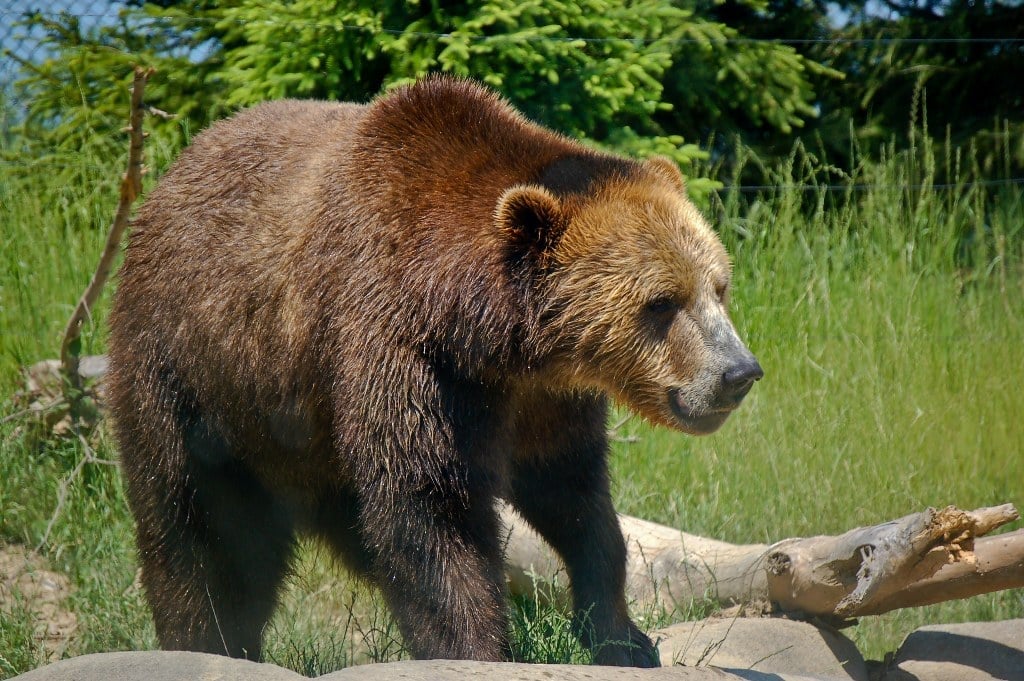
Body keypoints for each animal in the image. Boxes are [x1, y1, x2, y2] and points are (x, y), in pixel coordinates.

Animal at [107, 76, 762, 668]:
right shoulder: (408, 357)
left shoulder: (544, 400)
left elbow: (575, 496)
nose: (739, 372)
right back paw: (209, 643)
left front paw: (623, 637)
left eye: (718, 286)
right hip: (192, 379)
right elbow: (431, 512)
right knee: (200, 529)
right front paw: (479, 648)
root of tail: (168, 181)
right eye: (661, 303)